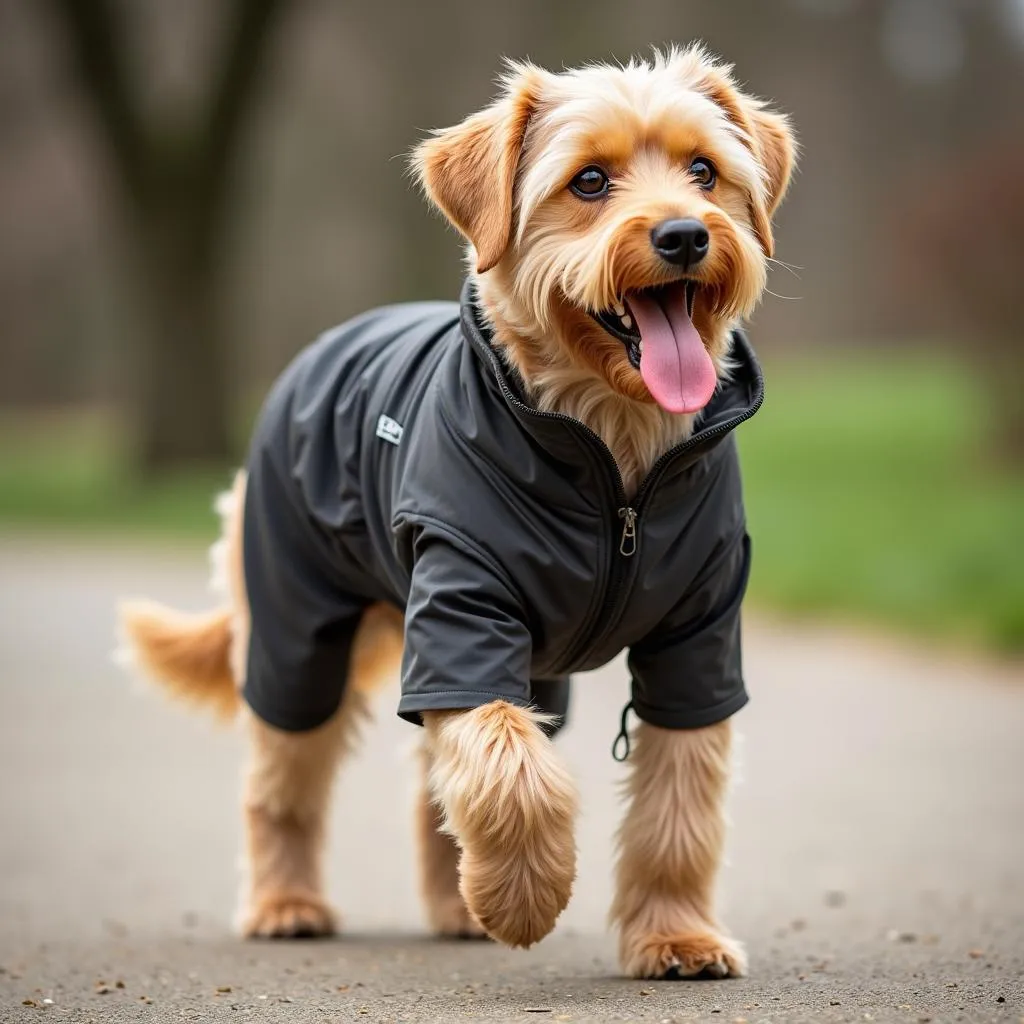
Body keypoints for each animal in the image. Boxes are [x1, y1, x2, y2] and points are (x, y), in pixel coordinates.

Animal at [117, 44, 790, 978]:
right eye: (589, 181)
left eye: (705, 172)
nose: (685, 235)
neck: (614, 460)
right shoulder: (460, 614)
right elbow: (510, 764)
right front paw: (524, 900)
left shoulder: (700, 639)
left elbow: (676, 808)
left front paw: (674, 935)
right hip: (296, 633)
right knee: (280, 783)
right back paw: (287, 903)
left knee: (434, 782)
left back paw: (455, 903)